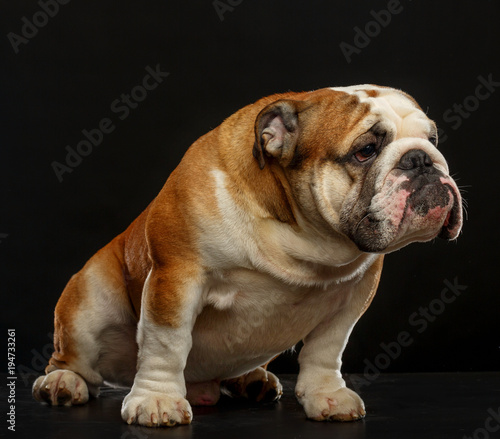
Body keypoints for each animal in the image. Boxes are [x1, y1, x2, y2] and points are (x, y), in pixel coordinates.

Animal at [32, 85, 460, 426]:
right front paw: (157, 399)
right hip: (89, 299)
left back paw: (251, 381)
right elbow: (166, 344)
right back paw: (62, 382)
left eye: (434, 139)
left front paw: (326, 395)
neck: (303, 234)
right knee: (76, 359)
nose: (421, 159)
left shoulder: (353, 295)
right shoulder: (178, 276)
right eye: (365, 151)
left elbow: (326, 347)